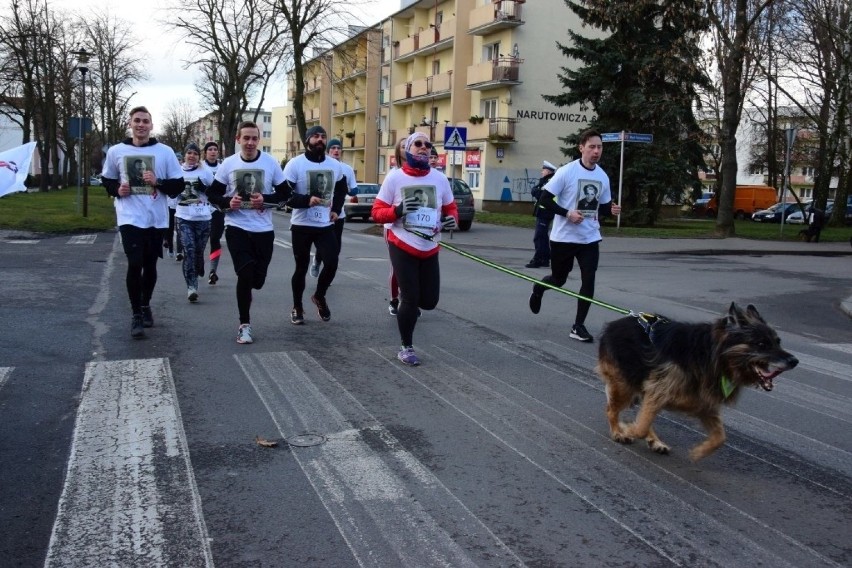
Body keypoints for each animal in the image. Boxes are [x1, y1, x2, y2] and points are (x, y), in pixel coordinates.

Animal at [596, 304, 804, 460]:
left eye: (778, 341)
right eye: (761, 344)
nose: (794, 361)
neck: (712, 355)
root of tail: (613, 325)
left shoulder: (703, 404)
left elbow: (721, 437)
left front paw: (700, 452)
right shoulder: (659, 391)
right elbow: (639, 427)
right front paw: (626, 429)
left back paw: (655, 441)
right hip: (624, 386)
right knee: (611, 410)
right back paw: (618, 432)